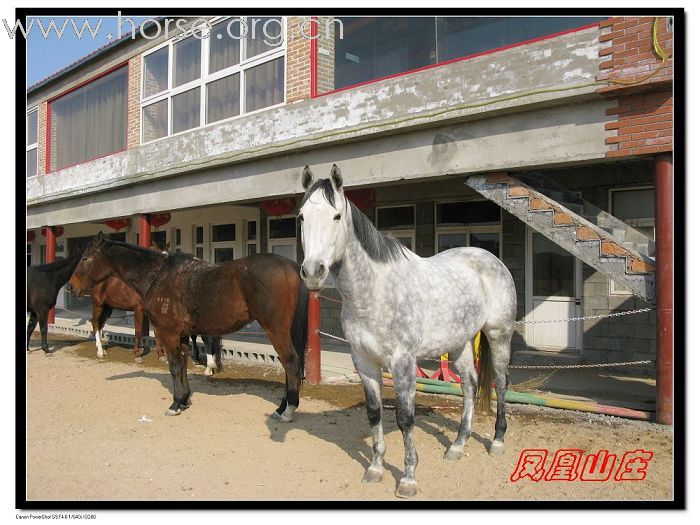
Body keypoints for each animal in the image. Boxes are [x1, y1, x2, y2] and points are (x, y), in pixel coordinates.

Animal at [69, 232, 308, 418]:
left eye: (85, 258)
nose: (71, 286)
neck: (159, 276)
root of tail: (288, 266)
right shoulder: (182, 335)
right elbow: (183, 363)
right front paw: (184, 400)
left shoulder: (169, 333)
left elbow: (175, 366)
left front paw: (175, 403)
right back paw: (282, 407)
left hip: (276, 329)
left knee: (290, 362)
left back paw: (288, 410)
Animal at [298, 164, 516, 496]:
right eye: (301, 217)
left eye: (336, 216)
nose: (312, 272)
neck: (375, 290)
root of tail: (490, 259)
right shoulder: (363, 361)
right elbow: (374, 413)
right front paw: (375, 469)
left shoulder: (403, 362)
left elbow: (405, 418)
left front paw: (408, 477)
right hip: (459, 343)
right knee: (469, 385)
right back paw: (457, 446)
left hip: (499, 335)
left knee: (501, 384)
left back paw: (498, 441)